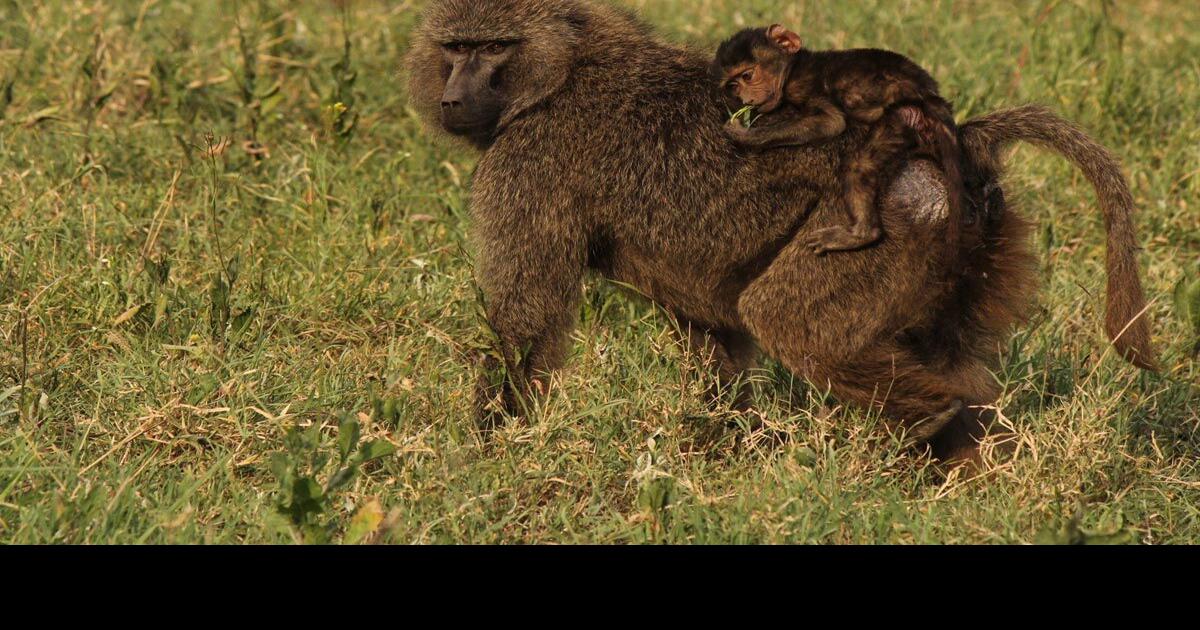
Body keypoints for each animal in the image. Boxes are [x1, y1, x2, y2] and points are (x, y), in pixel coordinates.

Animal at [713, 24, 969, 255]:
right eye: (733, 85)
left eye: (748, 75)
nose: (746, 99)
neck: (793, 68)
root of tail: (929, 95)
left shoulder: (805, 86)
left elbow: (831, 123)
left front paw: (744, 134)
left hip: (903, 117)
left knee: (857, 167)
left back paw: (861, 235)